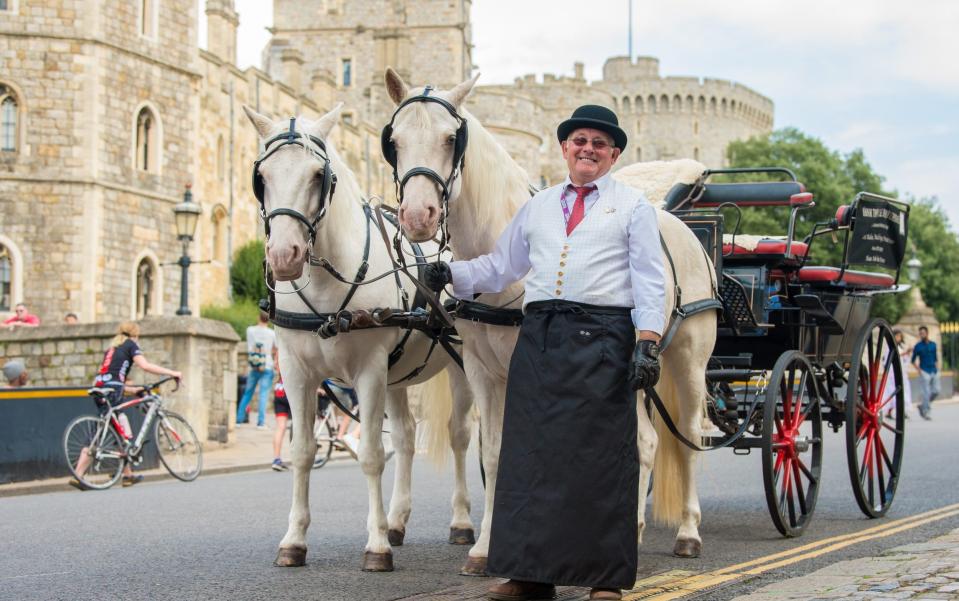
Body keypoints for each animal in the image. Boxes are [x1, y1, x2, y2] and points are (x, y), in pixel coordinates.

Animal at [244, 104, 476, 572]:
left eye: (319, 175)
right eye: (262, 176)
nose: (283, 257)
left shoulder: (369, 370)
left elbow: (370, 455)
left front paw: (376, 546)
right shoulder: (295, 372)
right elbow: (302, 452)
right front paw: (294, 540)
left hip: (458, 365)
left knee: (459, 435)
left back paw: (460, 521)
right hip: (398, 375)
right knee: (405, 436)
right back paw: (397, 520)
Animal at [382, 70, 720, 568]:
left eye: (450, 139)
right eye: (395, 141)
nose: (417, 216)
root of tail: (683, 229)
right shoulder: (482, 371)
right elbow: (495, 453)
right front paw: (486, 547)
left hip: (687, 363)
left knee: (687, 437)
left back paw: (688, 532)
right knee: (646, 442)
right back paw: (634, 528)